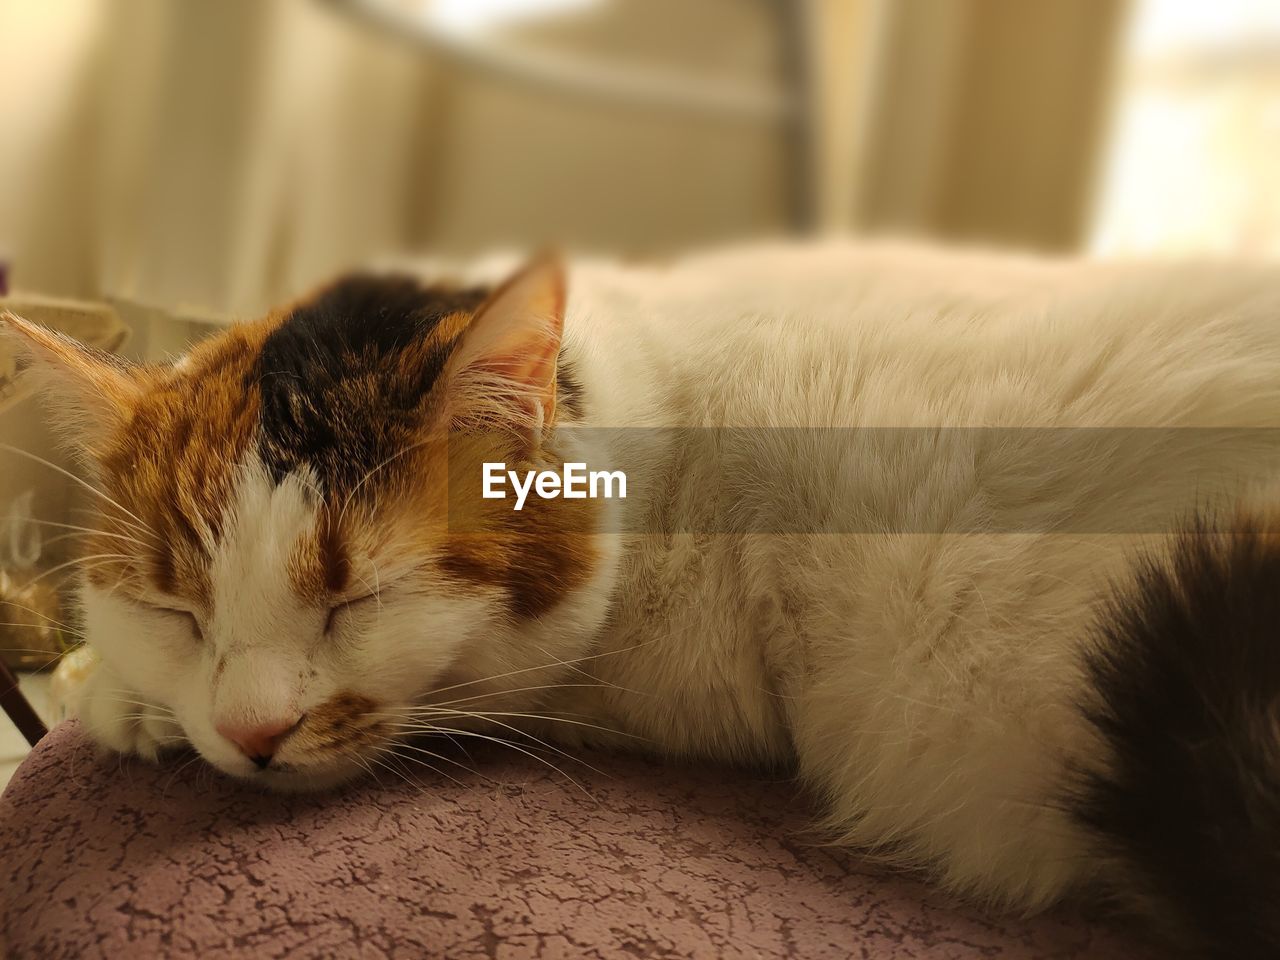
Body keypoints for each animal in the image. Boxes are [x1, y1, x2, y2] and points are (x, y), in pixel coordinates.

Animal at [2, 244, 1280, 957]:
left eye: (358, 597)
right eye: (177, 611)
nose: (252, 734)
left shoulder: (672, 686)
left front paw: (113, 702)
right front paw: (138, 697)